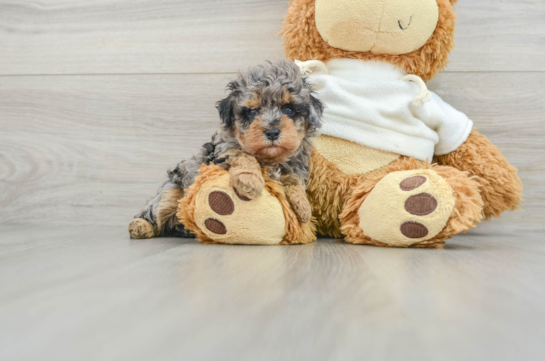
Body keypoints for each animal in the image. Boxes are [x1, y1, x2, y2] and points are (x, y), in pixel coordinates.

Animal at [129, 59, 320, 239]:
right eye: (252, 112)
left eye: (289, 109)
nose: (272, 132)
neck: (270, 159)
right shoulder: (221, 156)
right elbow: (242, 154)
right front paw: (250, 180)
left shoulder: (296, 161)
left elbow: (295, 179)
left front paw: (303, 206)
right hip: (170, 191)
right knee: (152, 212)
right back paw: (140, 226)